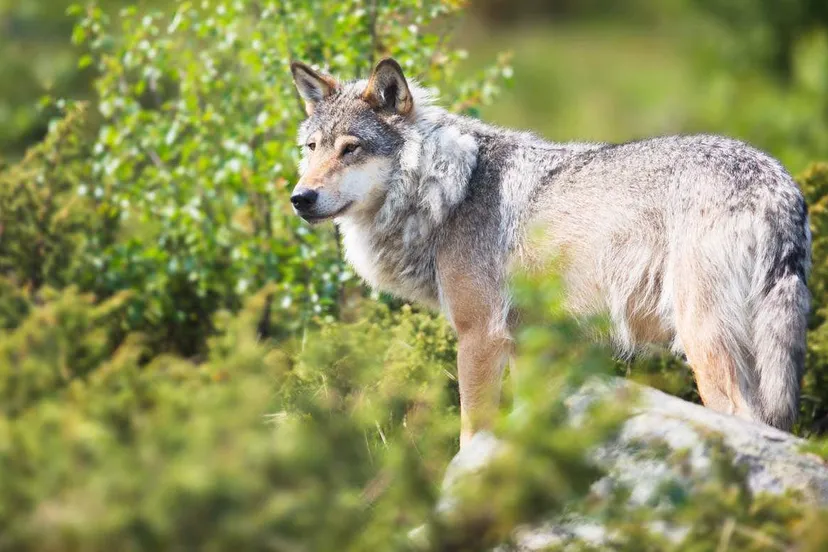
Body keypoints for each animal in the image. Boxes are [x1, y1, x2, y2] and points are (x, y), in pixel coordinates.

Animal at [289, 57, 810, 446]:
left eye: (351, 149)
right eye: (312, 148)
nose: (300, 198)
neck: (447, 189)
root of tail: (777, 186)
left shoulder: (479, 336)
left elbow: (471, 432)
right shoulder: (530, 345)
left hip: (702, 341)